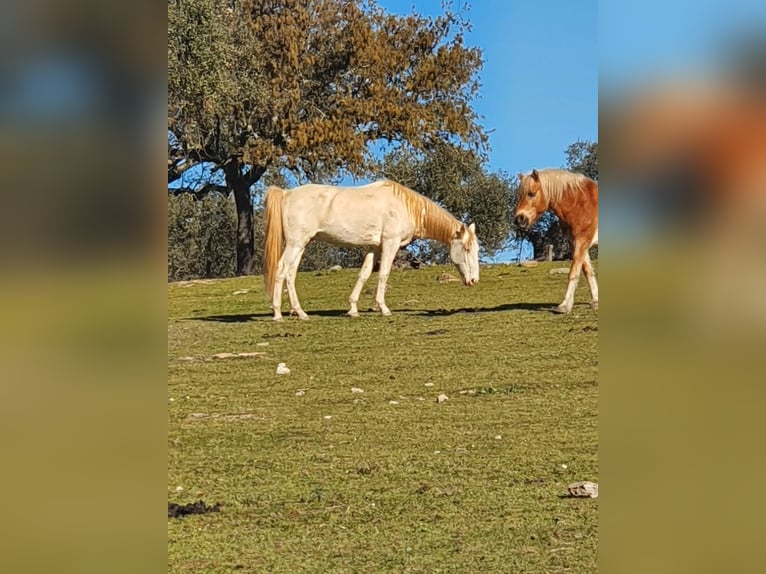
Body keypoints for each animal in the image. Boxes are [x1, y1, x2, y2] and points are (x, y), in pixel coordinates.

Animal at [264, 180, 480, 322]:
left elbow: (364, 274)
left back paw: (300, 312)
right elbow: (383, 274)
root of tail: (286, 193)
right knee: (281, 270)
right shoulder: (390, 244)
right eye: (467, 248)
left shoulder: (374, 247)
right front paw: (383, 308)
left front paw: (352, 309)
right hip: (295, 244)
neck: (405, 206)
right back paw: (277, 313)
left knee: (290, 274)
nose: (474, 281)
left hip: (301, 244)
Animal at [516, 170, 600, 316]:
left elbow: (573, 273)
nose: (519, 219)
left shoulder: (582, 241)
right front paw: (595, 301)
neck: (581, 204)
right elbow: (587, 271)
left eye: (531, 193)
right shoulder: (576, 243)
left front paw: (564, 306)